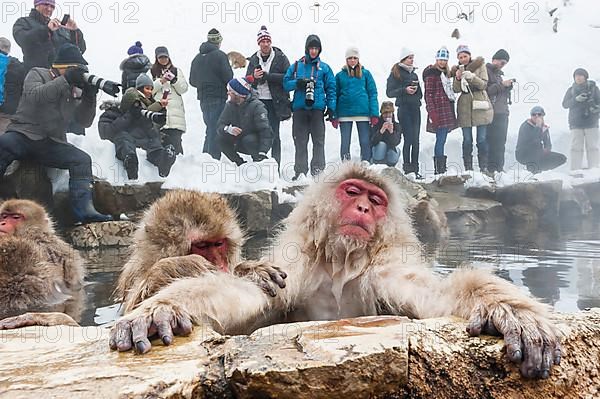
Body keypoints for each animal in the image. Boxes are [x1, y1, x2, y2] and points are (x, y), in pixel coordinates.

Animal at [115, 191, 288, 316]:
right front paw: (185, 265)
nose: (220, 264)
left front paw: (251, 269)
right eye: (202, 246)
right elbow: (135, 305)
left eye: (219, 244)